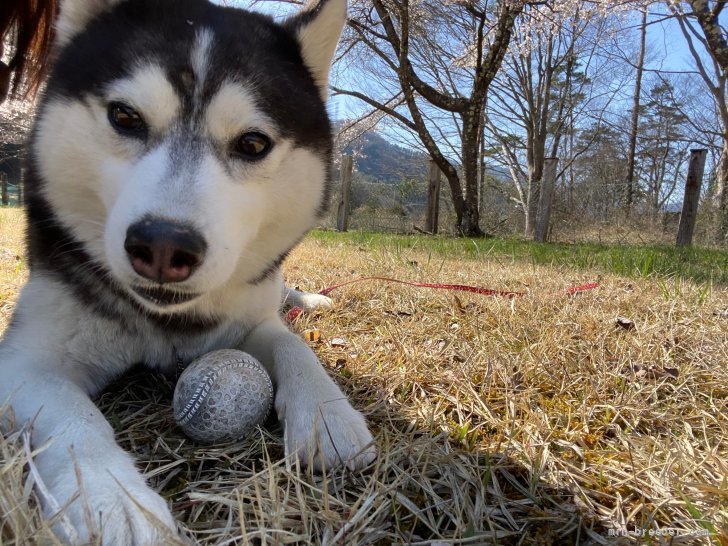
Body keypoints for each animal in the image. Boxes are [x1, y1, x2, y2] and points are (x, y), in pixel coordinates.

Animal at [0, 0, 376, 540]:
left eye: (253, 143)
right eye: (124, 116)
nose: (162, 245)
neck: (168, 322)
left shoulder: (249, 317)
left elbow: (292, 344)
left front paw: (327, 413)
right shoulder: (25, 360)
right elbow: (74, 417)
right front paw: (113, 501)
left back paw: (311, 299)